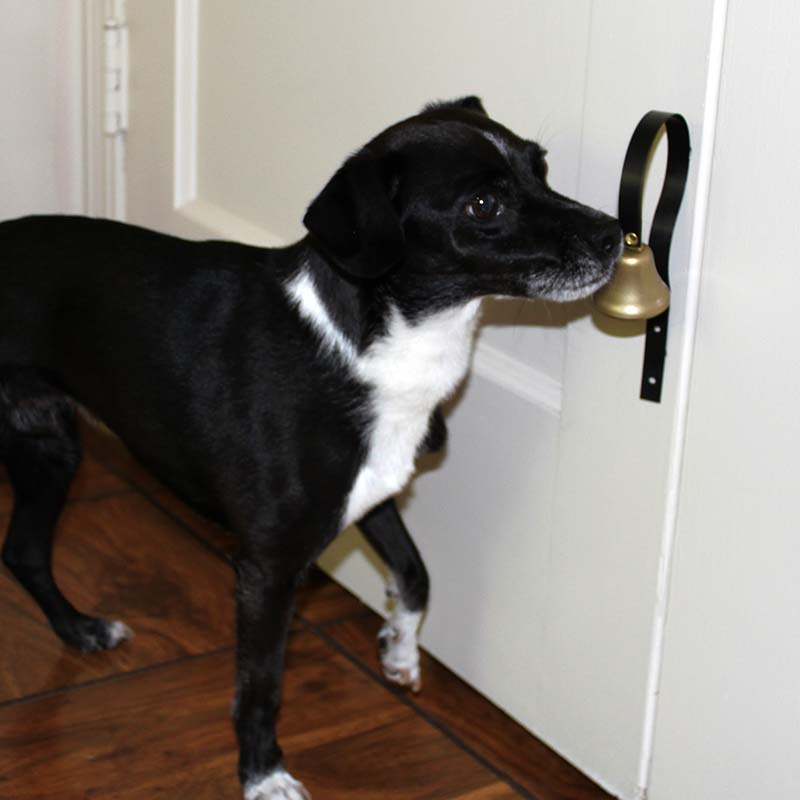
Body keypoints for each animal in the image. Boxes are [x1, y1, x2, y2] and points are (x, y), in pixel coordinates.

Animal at [0, 97, 620, 796]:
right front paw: (263, 775)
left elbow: (417, 575)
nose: (619, 234)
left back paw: (80, 629)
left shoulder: (371, 496)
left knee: (22, 550)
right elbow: (261, 687)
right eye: (483, 205)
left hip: (48, 449)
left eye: (540, 169)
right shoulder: (268, 569)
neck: (368, 341)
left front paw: (400, 648)